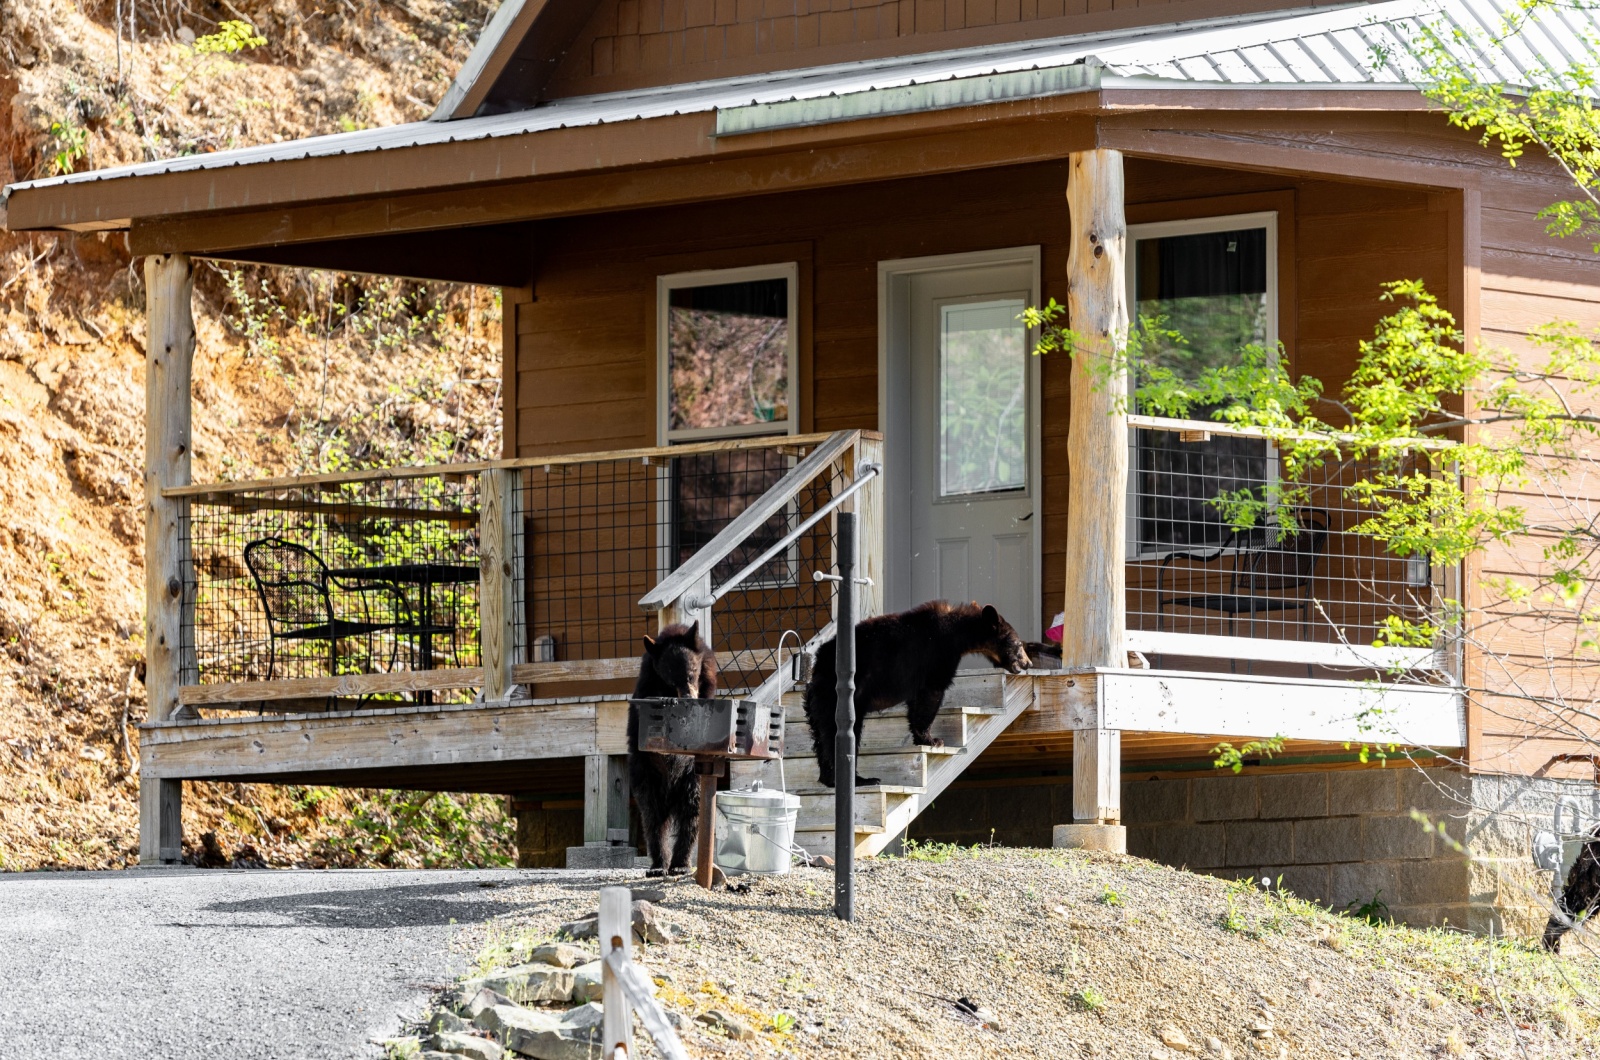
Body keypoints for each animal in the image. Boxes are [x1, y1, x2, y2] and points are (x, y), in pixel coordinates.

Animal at [624, 624, 720, 877]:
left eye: (692, 670)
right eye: (669, 675)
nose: (688, 697)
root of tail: (670, 795)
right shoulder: (646, 686)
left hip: (692, 779)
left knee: (692, 815)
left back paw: (680, 863)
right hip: (646, 776)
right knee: (652, 819)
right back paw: (659, 864)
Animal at [800, 605, 1036, 787]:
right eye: (1018, 644)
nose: (1028, 663)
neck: (956, 633)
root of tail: (817, 667)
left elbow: (916, 703)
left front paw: (921, 737)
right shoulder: (935, 657)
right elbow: (931, 695)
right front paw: (933, 739)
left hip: (816, 705)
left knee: (820, 737)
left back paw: (829, 778)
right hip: (839, 698)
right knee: (840, 735)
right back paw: (861, 779)